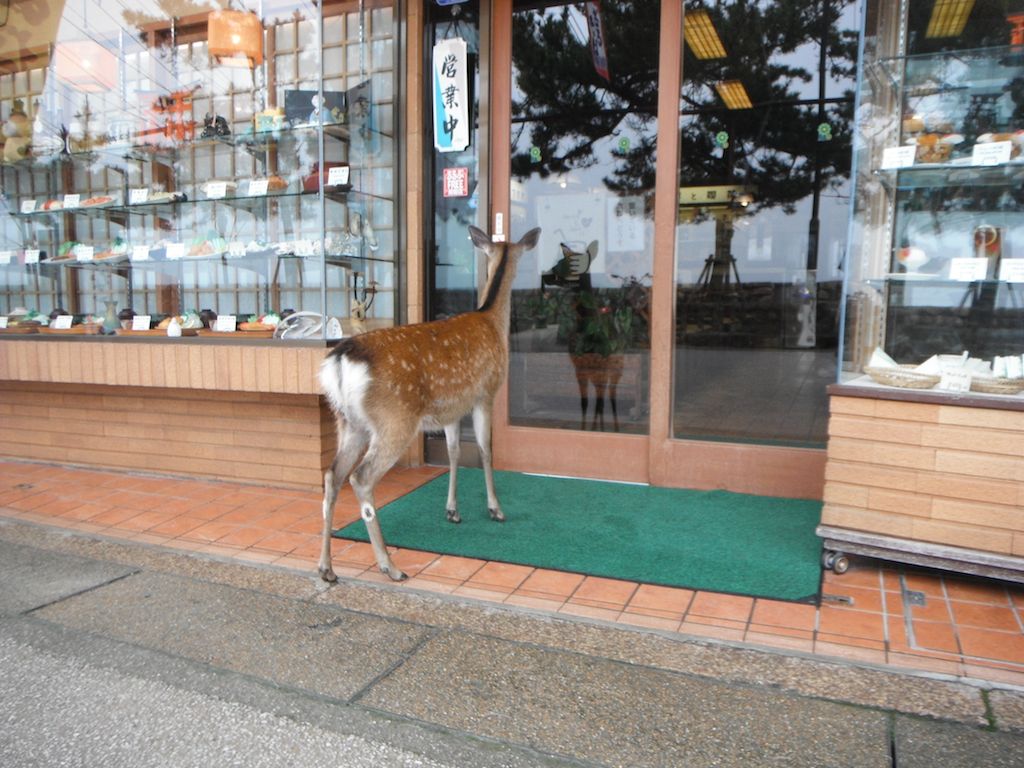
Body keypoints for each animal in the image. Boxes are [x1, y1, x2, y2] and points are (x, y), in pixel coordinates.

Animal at [317, 227, 544, 581]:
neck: (491, 320)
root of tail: (339, 360)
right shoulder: (485, 394)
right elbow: (485, 450)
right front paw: (495, 509)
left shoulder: (451, 408)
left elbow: (453, 452)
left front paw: (452, 511)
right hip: (394, 420)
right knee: (361, 478)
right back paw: (390, 566)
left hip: (348, 421)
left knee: (332, 476)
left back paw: (326, 567)